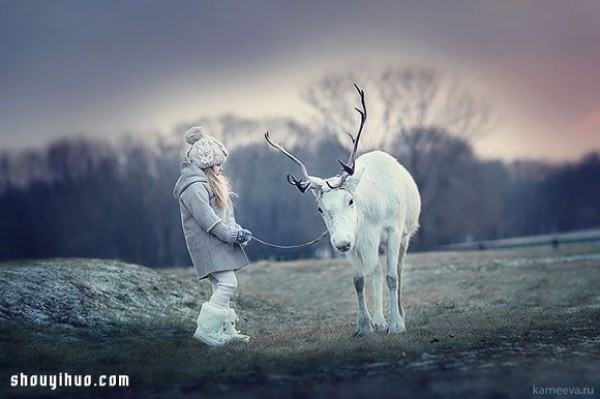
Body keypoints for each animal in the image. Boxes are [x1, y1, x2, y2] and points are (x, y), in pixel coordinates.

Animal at [268, 84, 422, 334]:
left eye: (350, 201)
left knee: (397, 270)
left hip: (406, 234)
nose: (340, 242)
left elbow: (392, 276)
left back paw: (399, 316)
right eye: (320, 209)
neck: (371, 217)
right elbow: (359, 281)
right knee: (376, 270)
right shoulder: (357, 240)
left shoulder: (392, 230)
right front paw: (364, 326)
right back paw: (379, 320)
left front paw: (396, 325)